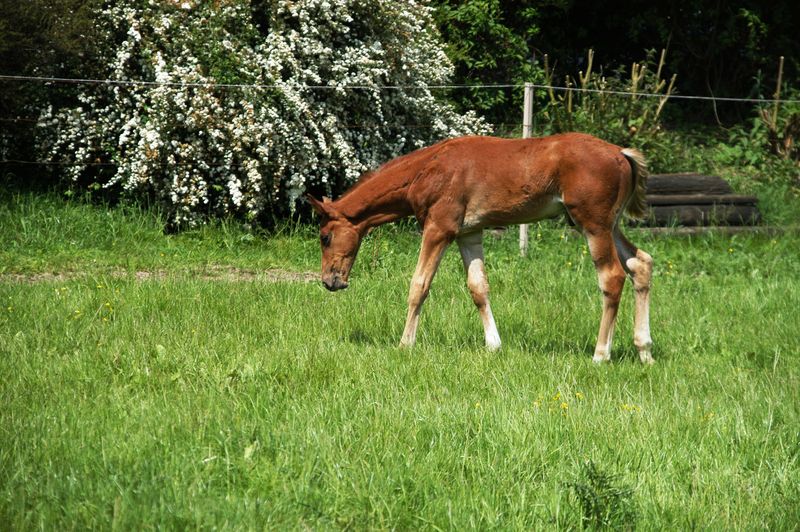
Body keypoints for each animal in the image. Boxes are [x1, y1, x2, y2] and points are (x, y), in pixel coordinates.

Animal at [310, 135, 652, 364]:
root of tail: (621, 153)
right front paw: (493, 345)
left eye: (325, 237)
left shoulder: (439, 228)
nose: (329, 281)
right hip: (611, 225)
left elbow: (419, 285)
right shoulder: (469, 233)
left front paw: (405, 344)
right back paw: (644, 350)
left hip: (593, 224)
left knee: (612, 277)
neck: (427, 169)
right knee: (641, 264)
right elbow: (478, 287)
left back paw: (601, 354)